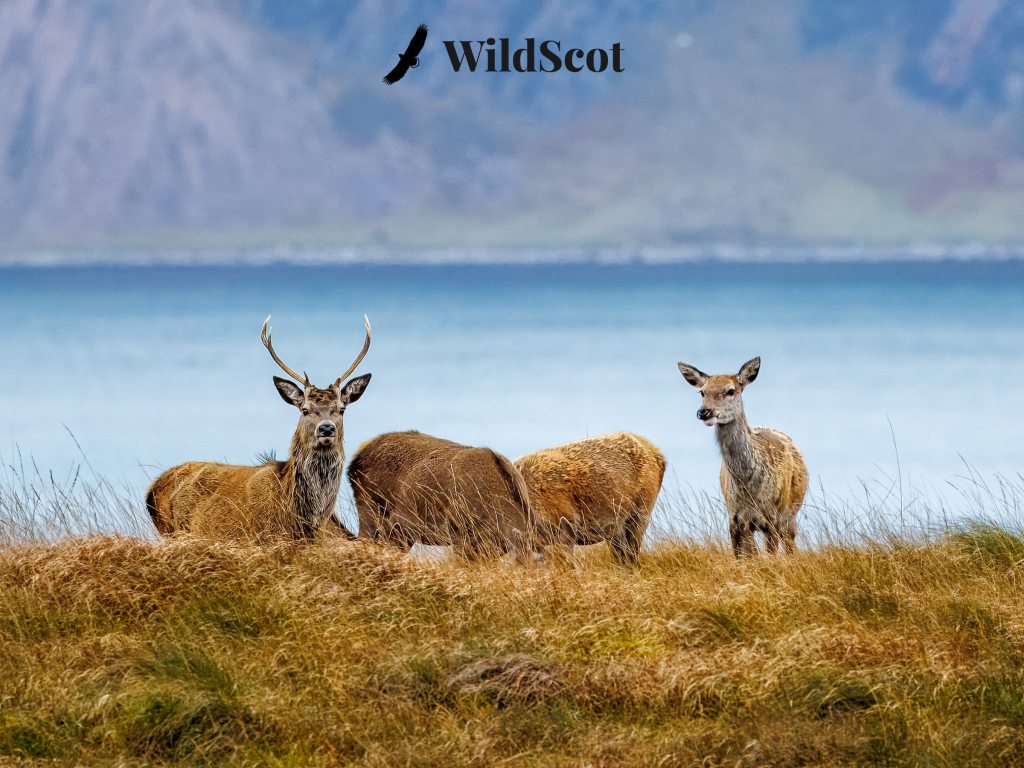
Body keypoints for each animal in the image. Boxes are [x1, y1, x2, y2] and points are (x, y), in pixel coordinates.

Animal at [677, 357, 807, 556]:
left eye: (731, 390)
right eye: (702, 392)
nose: (704, 412)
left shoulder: (772, 517)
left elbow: (769, 556)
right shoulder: (735, 517)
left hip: (789, 514)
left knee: (791, 547)